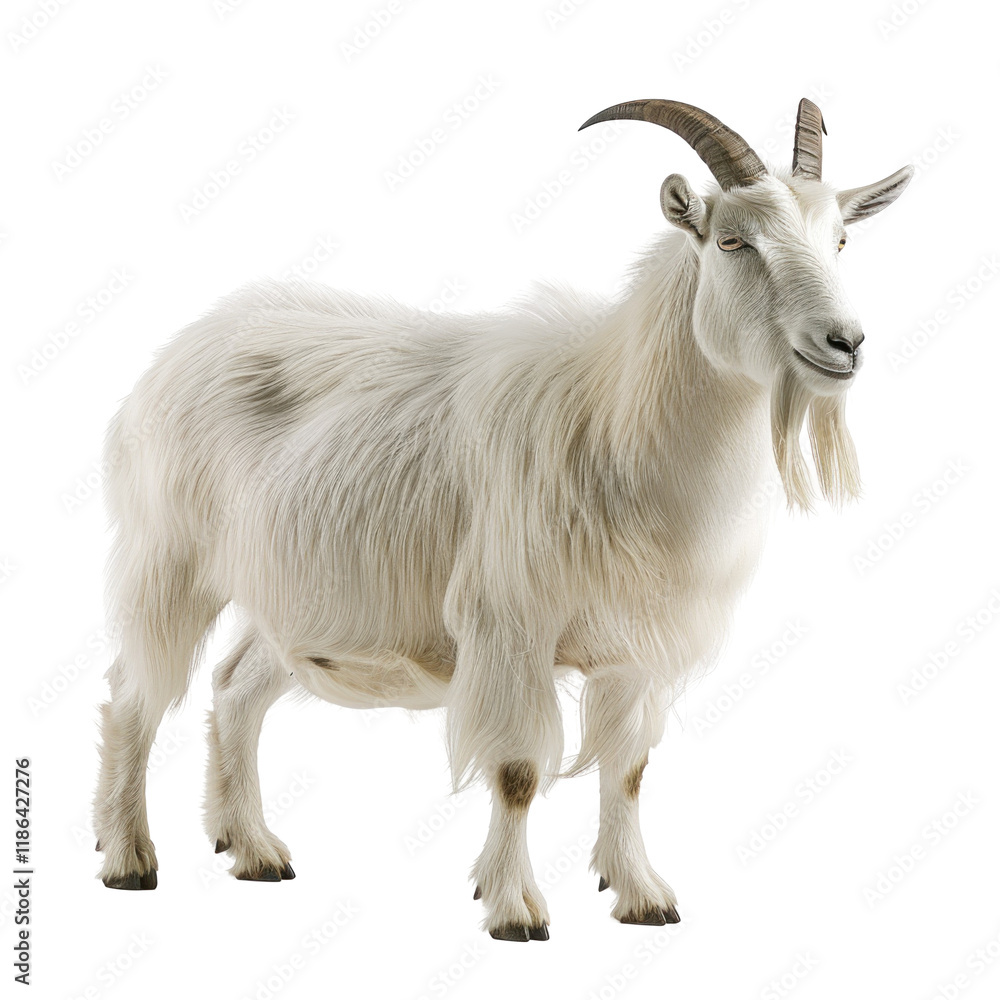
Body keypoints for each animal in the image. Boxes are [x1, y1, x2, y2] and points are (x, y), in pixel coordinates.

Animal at [93, 97, 912, 940]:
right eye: (733, 240)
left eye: (840, 238)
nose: (844, 343)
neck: (611, 420)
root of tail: (177, 352)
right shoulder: (510, 623)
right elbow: (518, 772)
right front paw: (515, 908)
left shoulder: (636, 648)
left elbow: (628, 770)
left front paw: (642, 895)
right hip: (170, 557)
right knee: (133, 694)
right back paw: (128, 859)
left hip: (299, 595)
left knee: (234, 688)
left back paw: (253, 849)